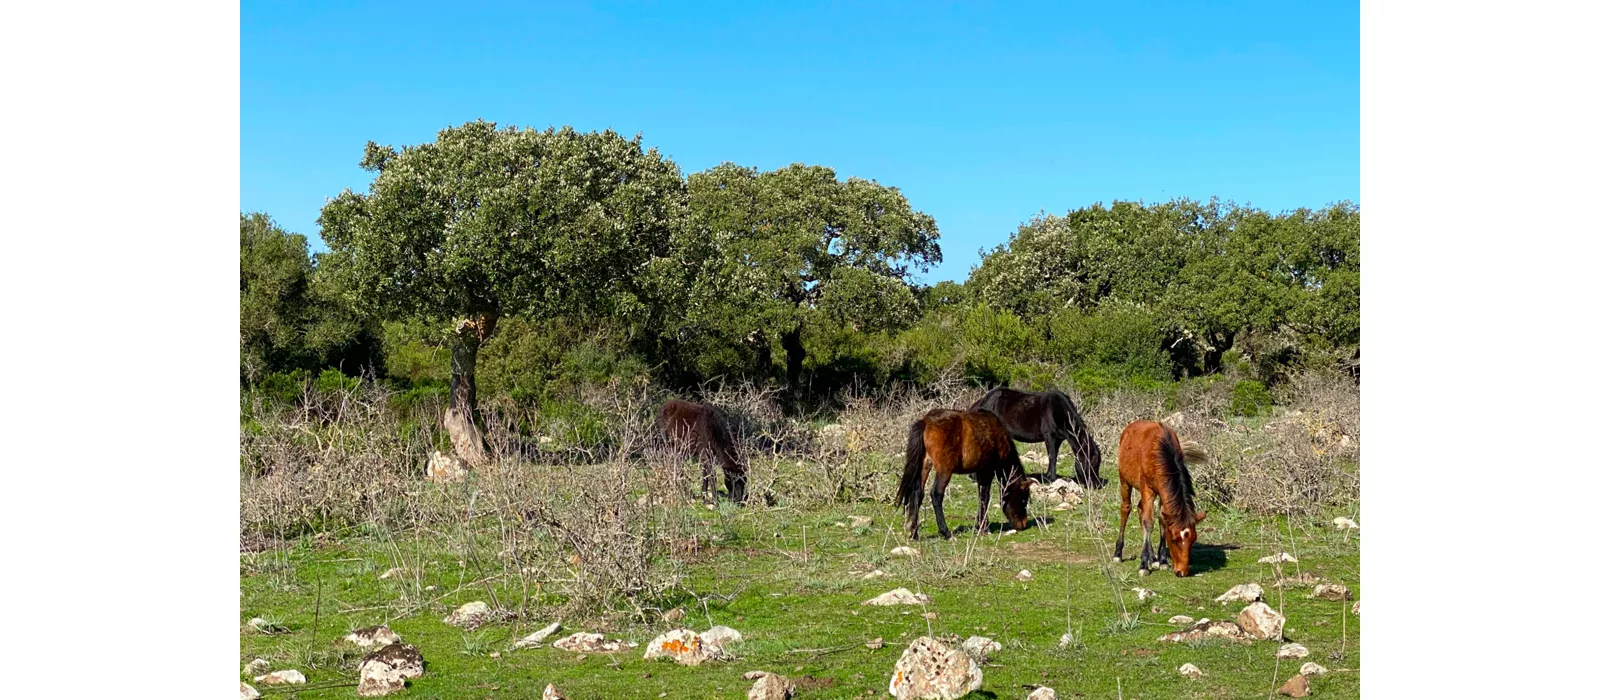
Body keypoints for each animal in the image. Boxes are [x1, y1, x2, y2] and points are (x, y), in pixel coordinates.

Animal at [889, 407, 1036, 540]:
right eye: (1023, 499)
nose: (1023, 525)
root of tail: (926, 422)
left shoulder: (980, 472)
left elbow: (981, 496)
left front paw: (980, 525)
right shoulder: (987, 471)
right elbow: (985, 497)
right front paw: (983, 527)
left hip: (925, 465)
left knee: (917, 493)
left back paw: (914, 533)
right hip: (944, 470)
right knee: (936, 495)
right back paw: (946, 533)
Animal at [966, 385, 1107, 489]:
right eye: (1090, 463)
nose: (1096, 485)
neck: (1059, 411)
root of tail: (980, 402)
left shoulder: (1058, 439)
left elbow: (1054, 456)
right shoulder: (1049, 436)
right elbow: (1052, 457)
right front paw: (1051, 478)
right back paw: (975, 477)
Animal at [1113, 421, 1209, 575]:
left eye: (1193, 539)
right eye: (1174, 539)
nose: (1182, 571)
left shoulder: (1164, 493)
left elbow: (1162, 520)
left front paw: (1162, 560)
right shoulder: (1147, 489)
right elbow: (1148, 522)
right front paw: (1143, 565)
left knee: (1140, 508)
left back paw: (1153, 558)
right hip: (1124, 481)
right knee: (1126, 508)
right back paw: (1118, 554)